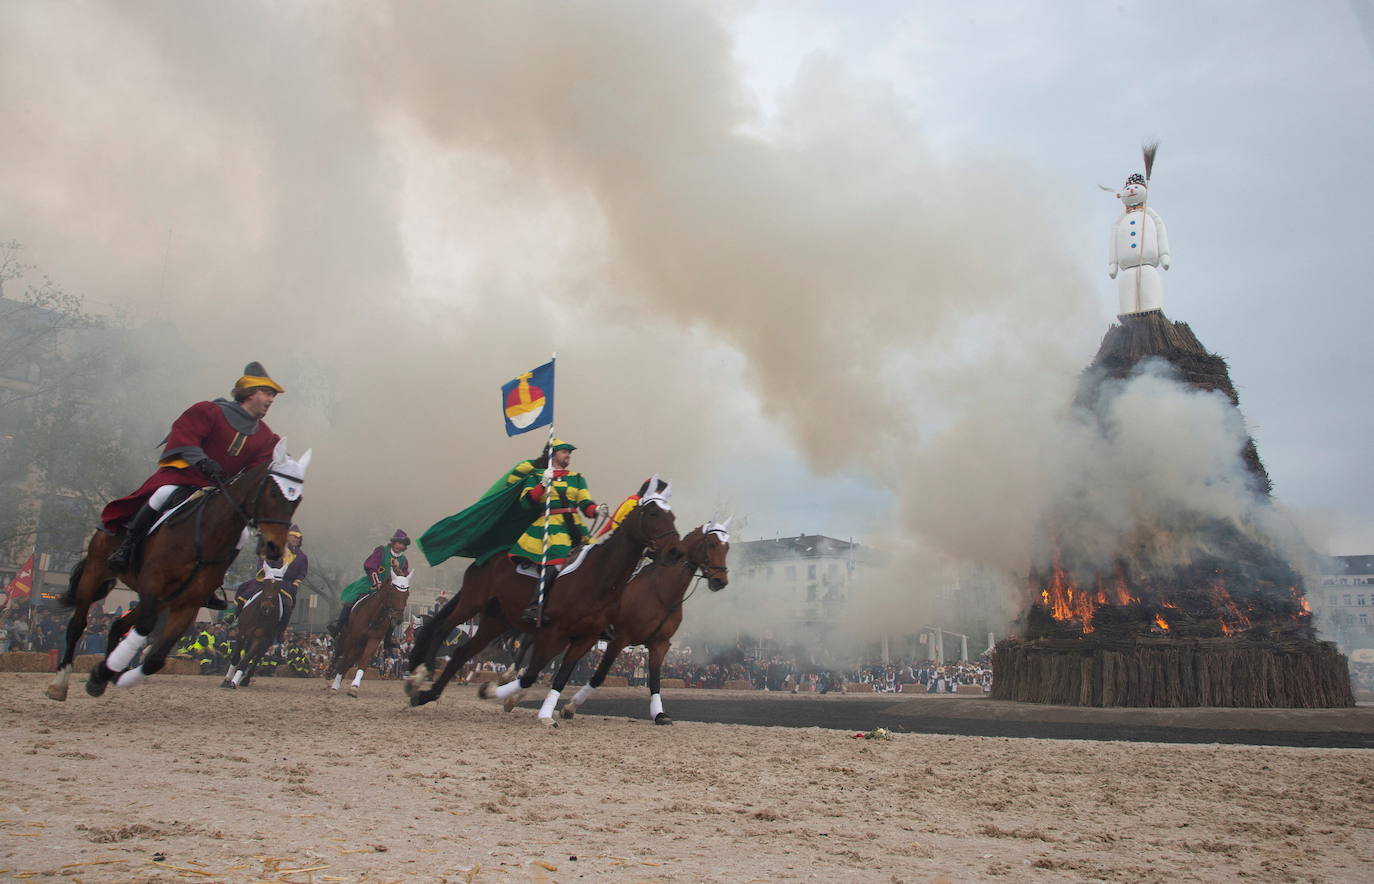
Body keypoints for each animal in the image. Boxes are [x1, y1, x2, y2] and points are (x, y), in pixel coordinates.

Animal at [218, 560, 291, 692]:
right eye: (265, 583)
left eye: (279, 586)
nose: (267, 607)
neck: (259, 614)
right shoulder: (242, 633)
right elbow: (236, 657)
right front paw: (226, 680)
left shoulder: (259, 638)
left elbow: (247, 659)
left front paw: (234, 682)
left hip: (267, 641)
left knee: (257, 657)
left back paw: (245, 680)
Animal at [328, 566, 409, 698]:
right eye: (392, 593)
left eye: (407, 594)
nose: (398, 618)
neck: (374, 617)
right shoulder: (353, 639)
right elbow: (344, 659)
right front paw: (334, 686)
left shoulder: (373, 640)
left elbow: (364, 661)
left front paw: (354, 687)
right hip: (346, 638)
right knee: (340, 654)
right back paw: (329, 672)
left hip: (360, 646)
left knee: (349, 661)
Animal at [401, 478, 681, 720]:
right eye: (653, 514)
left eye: (672, 516)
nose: (674, 552)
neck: (599, 577)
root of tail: (490, 556)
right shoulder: (552, 633)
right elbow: (531, 674)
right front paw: (495, 692)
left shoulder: (584, 638)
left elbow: (559, 676)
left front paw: (540, 710)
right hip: (473, 601)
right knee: (442, 628)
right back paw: (420, 676)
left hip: (496, 619)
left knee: (461, 653)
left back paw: (427, 695)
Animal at [557, 519, 730, 725]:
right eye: (711, 544)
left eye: (727, 547)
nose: (720, 581)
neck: (660, 591)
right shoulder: (619, 639)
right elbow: (599, 675)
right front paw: (570, 706)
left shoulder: (659, 644)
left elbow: (655, 681)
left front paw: (659, 714)